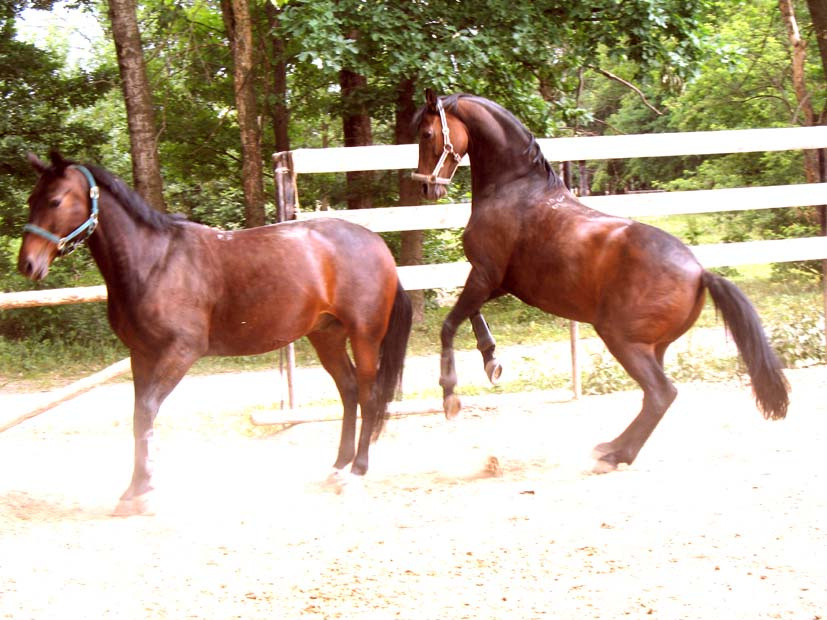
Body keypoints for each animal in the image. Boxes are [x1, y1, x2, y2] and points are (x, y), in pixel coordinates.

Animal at [18, 151, 412, 514]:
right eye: (31, 200)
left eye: (55, 201)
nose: (27, 264)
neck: (155, 262)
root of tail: (377, 243)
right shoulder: (141, 354)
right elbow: (139, 416)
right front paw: (135, 489)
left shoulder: (180, 352)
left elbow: (146, 411)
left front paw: (143, 492)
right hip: (327, 336)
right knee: (348, 391)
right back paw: (337, 468)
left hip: (365, 337)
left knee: (369, 396)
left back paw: (357, 472)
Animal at [412, 90, 789, 472]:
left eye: (427, 134)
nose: (428, 186)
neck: (516, 191)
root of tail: (700, 272)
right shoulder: (495, 282)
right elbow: (472, 315)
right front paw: (492, 361)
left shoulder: (485, 275)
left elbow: (449, 325)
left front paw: (450, 396)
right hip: (652, 346)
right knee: (654, 396)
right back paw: (614, 449)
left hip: (621, 339)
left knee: (661, 393)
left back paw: (612, 454)